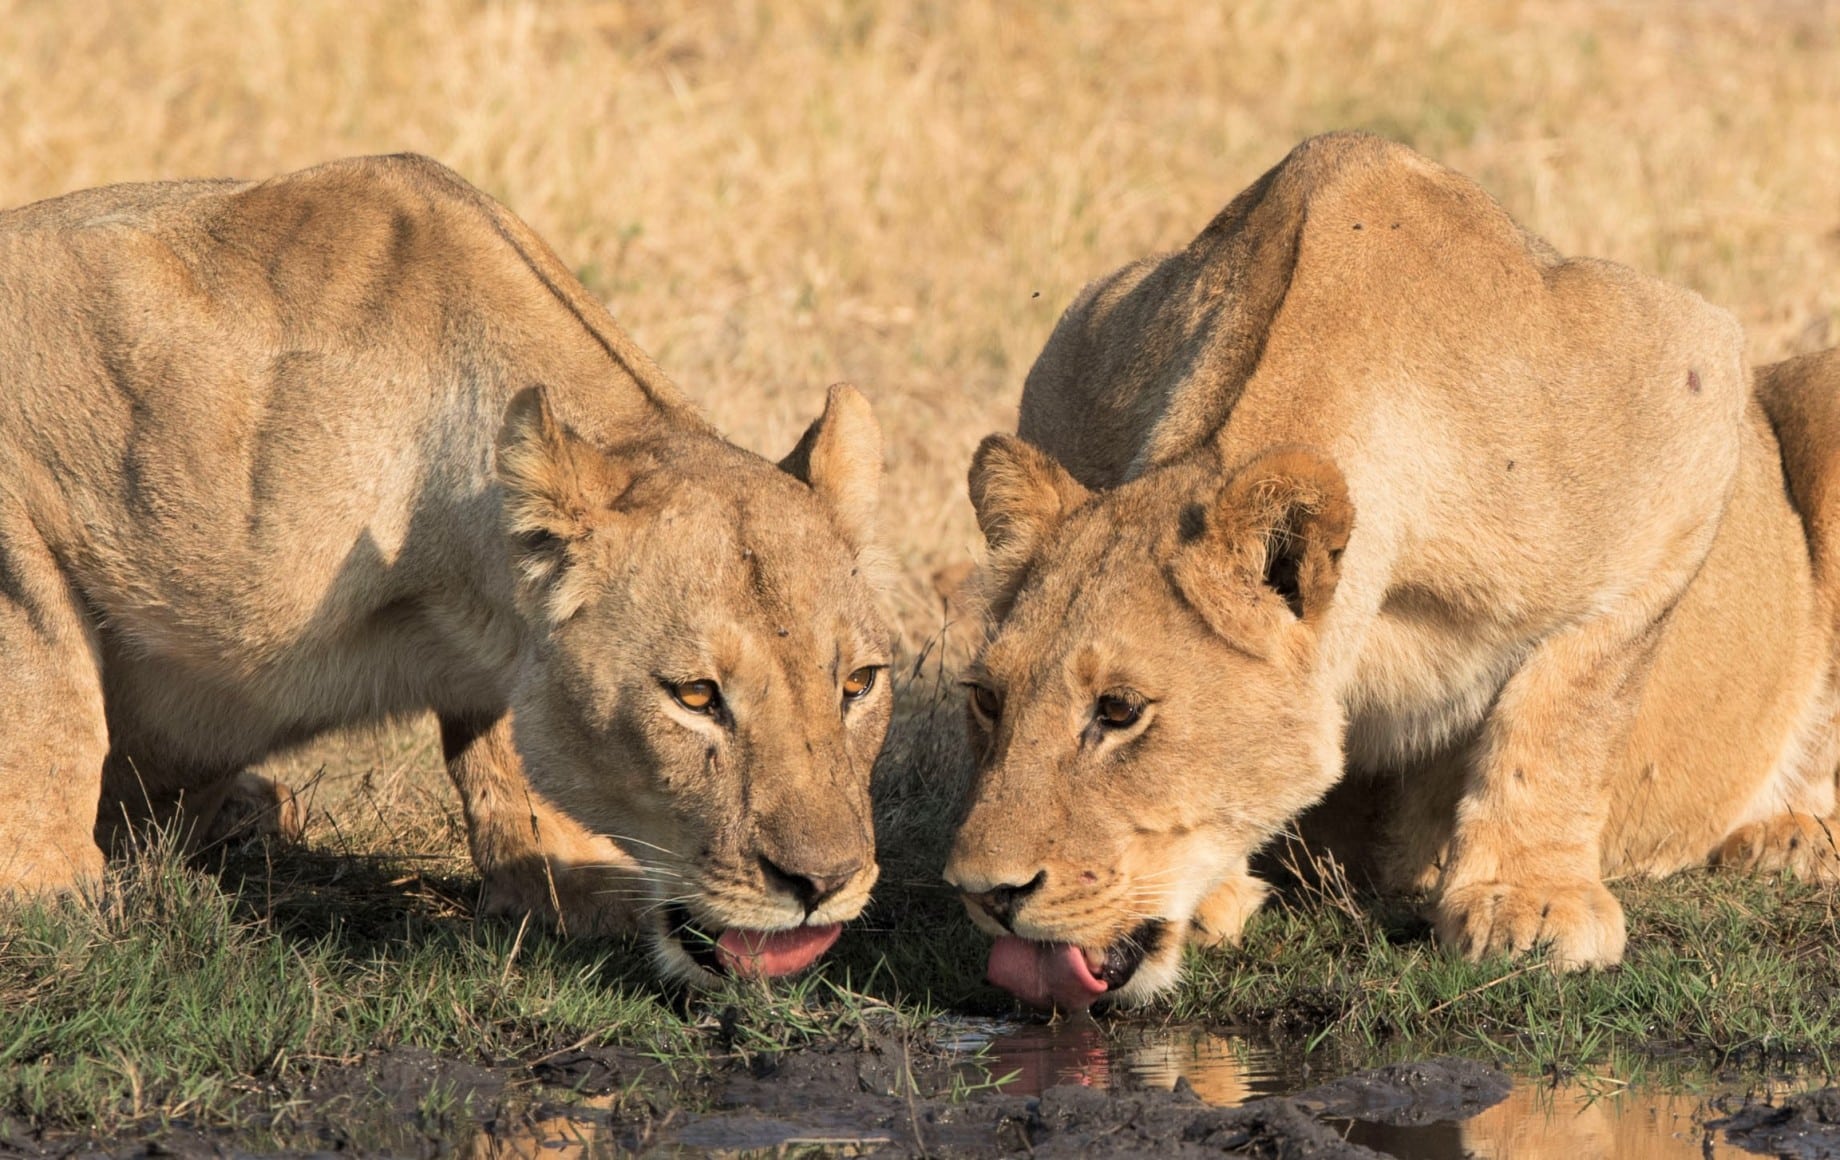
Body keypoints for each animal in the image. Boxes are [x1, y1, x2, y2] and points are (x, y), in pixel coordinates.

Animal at [0, 156, 890, 994]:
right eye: (697, 697)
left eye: (859, 684)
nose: (823, 883)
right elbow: (50, 695)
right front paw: (48, 893)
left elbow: (505, 750)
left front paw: (568, 884)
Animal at [949, 131, 1840, 1016]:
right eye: (988, 699)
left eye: (1119, 710)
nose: (984, 893)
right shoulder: (1072, 351)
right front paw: (1216, 895)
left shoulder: (1689, 386)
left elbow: (1569, 700)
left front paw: (1529, 902)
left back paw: (1789, 839)